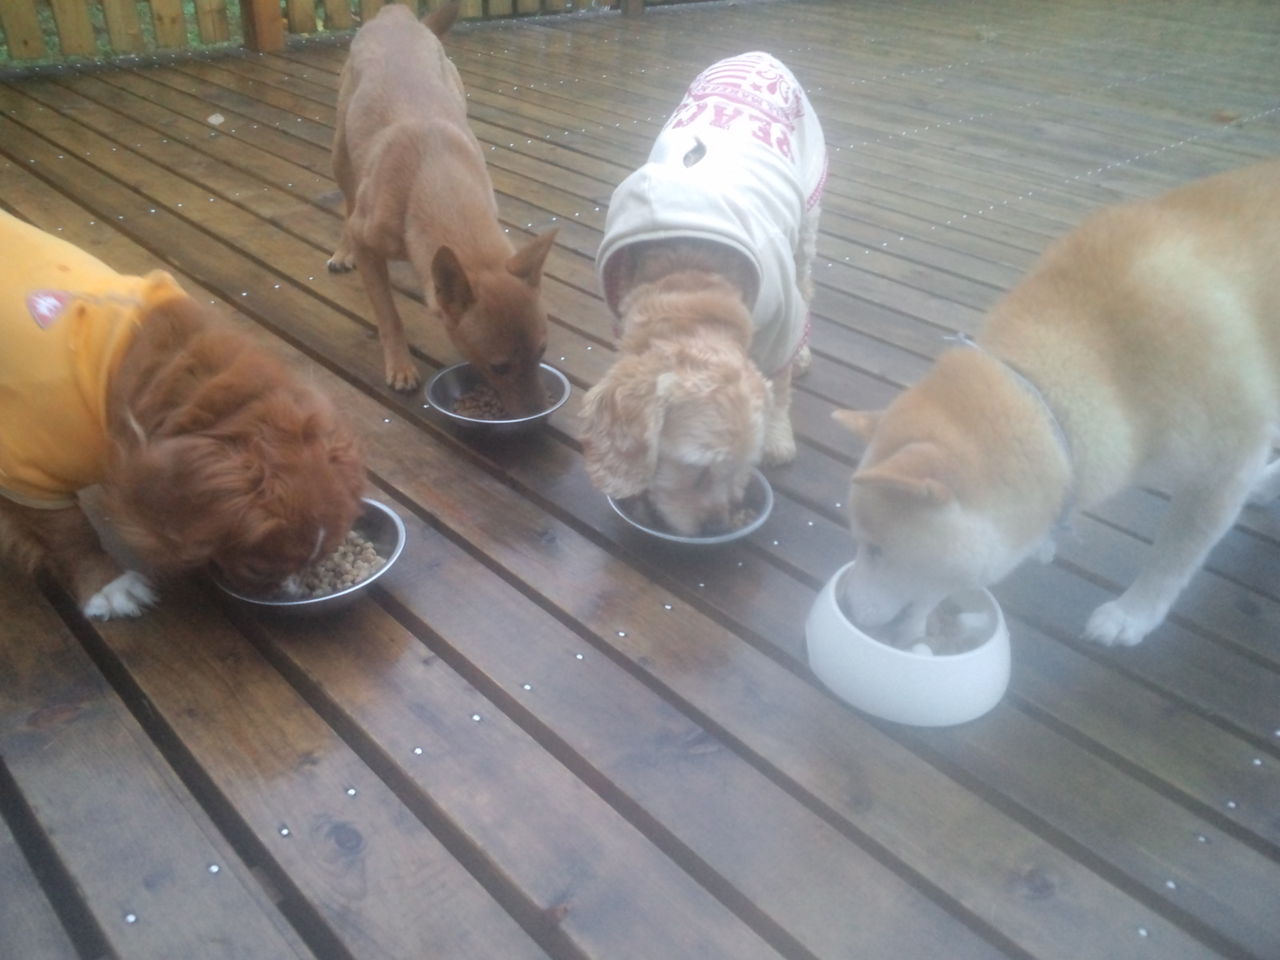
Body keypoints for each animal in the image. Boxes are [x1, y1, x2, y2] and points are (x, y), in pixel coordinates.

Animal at [328, 1, 557, 413]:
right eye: (498, 368)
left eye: (542, 352)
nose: (540, 417)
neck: (434, 174)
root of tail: (396, 15)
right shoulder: (369, 242)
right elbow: (389, 316)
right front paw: (400, 366)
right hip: (340, 155)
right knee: (348, 199)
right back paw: (342, 251)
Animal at [580, 52, 827, 536]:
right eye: (699, 470)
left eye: (742, 468)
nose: (718, 526)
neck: (688, 277)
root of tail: (760, 54)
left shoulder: (781, 322)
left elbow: (781, 382)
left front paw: (778, 437)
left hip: (808, 213)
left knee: (807, 282)